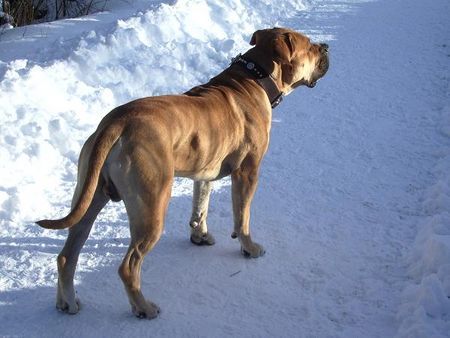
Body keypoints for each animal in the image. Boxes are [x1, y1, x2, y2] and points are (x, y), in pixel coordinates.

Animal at [37, 27, 328, 318]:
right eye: (309, 45)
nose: (326, 46)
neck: (255, 76)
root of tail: (117, 122)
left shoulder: (205, 172)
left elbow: (200, 206)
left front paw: (199, 236)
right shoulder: (248, 172)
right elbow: (242, 216)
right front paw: (249, 247)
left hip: (89, 196)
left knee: (67, 255)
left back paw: (67, 301)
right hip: (152, 205)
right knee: (129, 266)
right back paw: (143, 307)